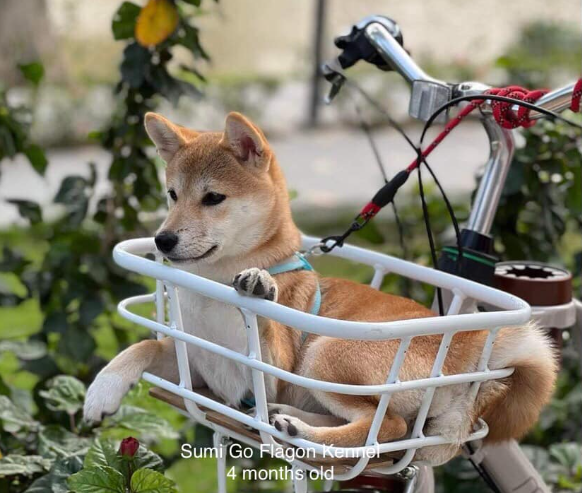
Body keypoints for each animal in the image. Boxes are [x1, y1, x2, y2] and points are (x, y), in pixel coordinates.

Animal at [84, 111, 560, 466]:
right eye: (171, 194)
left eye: (213, 198)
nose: (162, 240)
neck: (210, 288)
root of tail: (470, 342)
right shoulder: (198, 364)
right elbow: (143, 347)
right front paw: (101, 391)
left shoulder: (261, 375)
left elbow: (262, 337)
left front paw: (260, 288)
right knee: (379, 423)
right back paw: (289, 419)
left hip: (323, 355)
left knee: (387, 427)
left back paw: (302, 429)